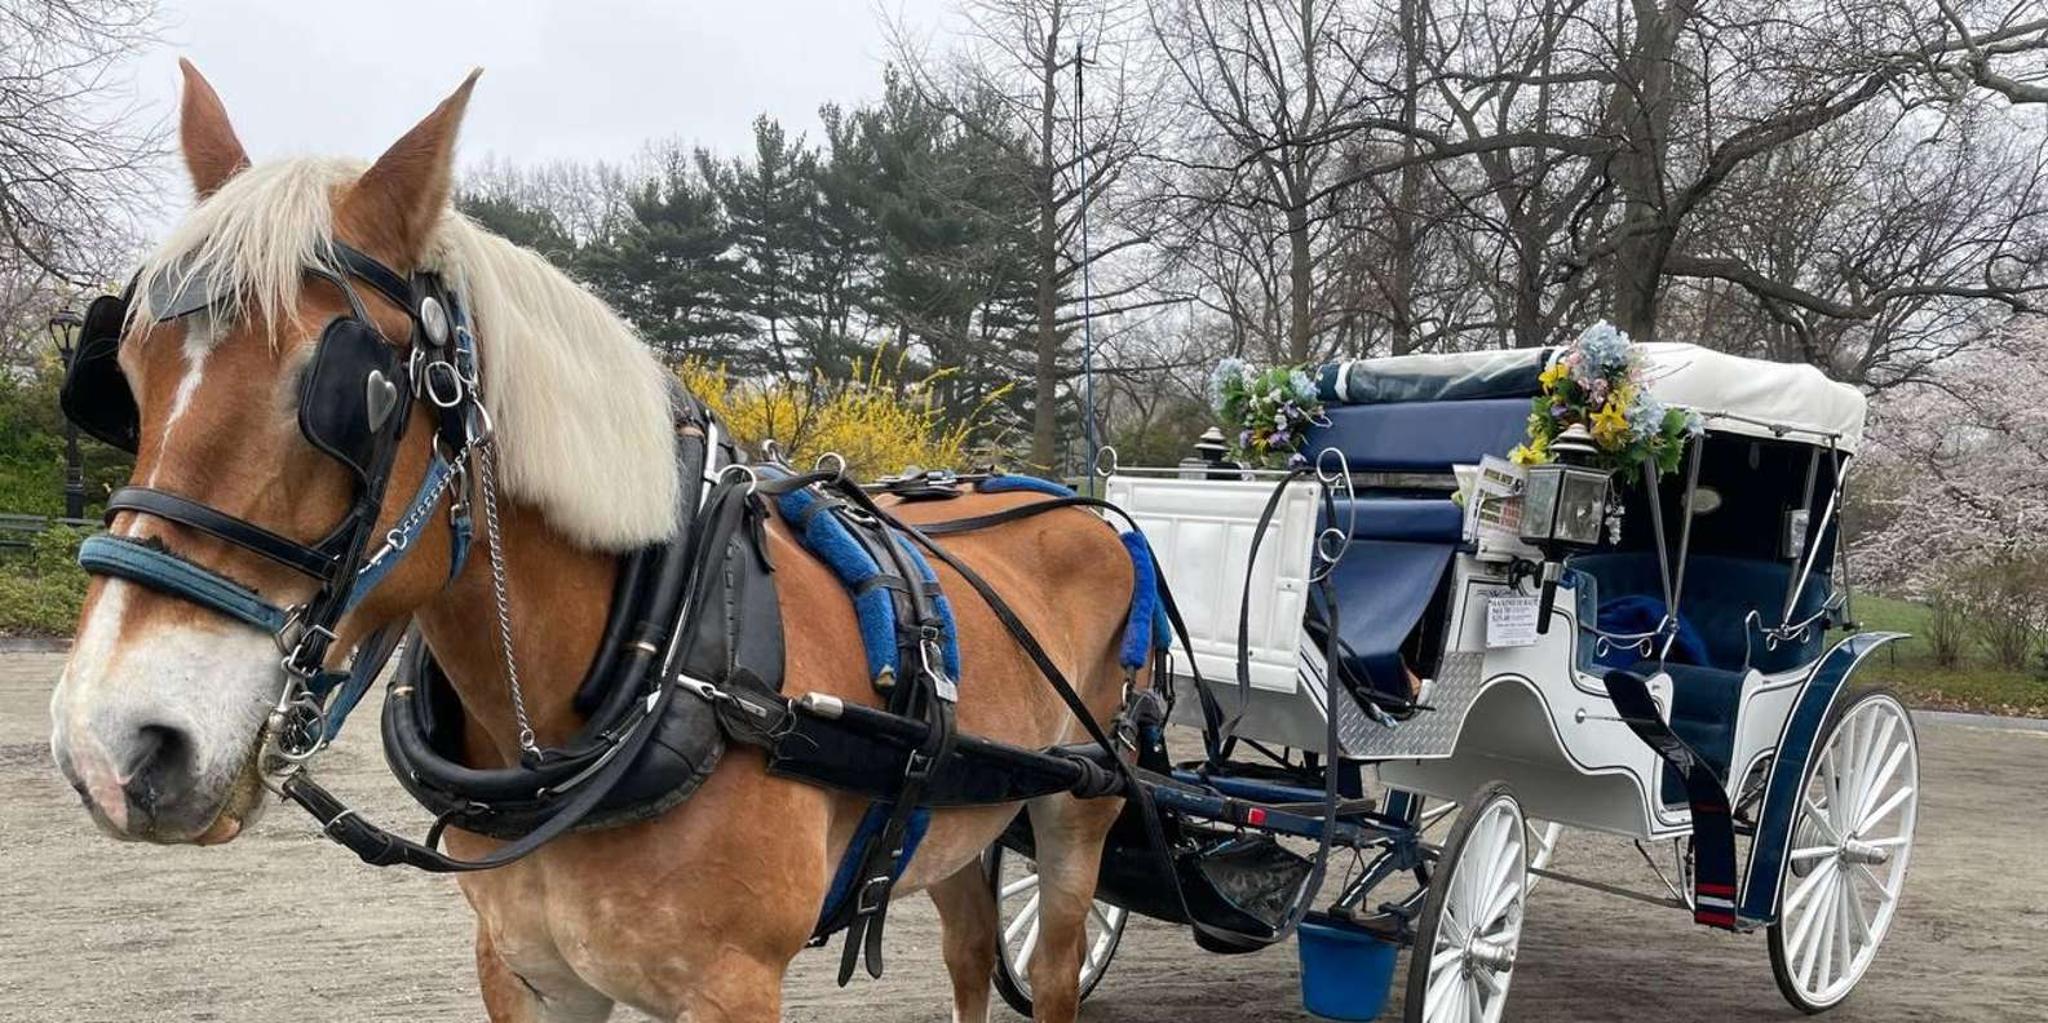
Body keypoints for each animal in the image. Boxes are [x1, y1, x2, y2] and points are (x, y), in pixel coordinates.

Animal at [47, 61, 1140, 1023]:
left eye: (358, 400)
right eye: (124, 379)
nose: (111, 745)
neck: (666, 665)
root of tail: (1075, 506)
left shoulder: (733, 987)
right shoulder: (527, 972)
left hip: (1077, 813)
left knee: (1048, 972)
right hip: (955, 822)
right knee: (968, 953)